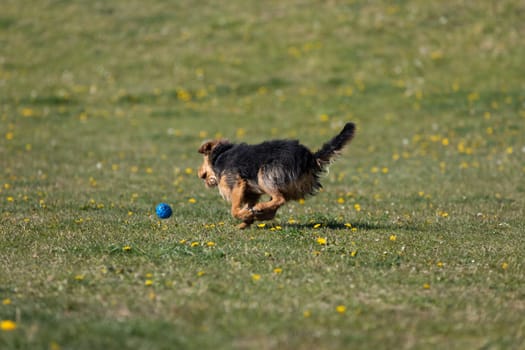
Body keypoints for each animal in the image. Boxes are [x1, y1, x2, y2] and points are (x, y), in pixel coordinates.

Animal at [198, 123, 356, 230]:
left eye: (203, 158)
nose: (199, 173)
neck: (220, 155)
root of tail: (310, 158)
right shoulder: (250, 193)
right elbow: (247, 205)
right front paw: (246, 220)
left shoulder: (236, 183)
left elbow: (234, 210)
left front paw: (245, 215)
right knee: (274, 208)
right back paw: (258, 212)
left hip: (265, 174)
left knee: (279, 199)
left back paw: (259, 209)